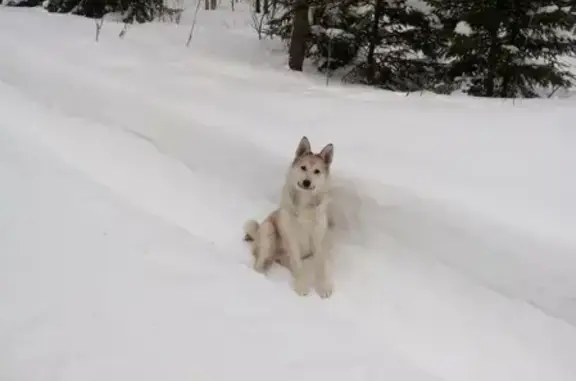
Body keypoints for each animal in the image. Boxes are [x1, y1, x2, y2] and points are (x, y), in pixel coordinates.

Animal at [244, 135, 338, 298]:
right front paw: (301, 287)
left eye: (317, 171)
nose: (306, 182)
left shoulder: (318, 239)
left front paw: (323, 288)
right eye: (303, 168)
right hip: (268, 229)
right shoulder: (292, 238)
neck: (305, 205)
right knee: (259, 262)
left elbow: (320, 266)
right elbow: (299, 266)